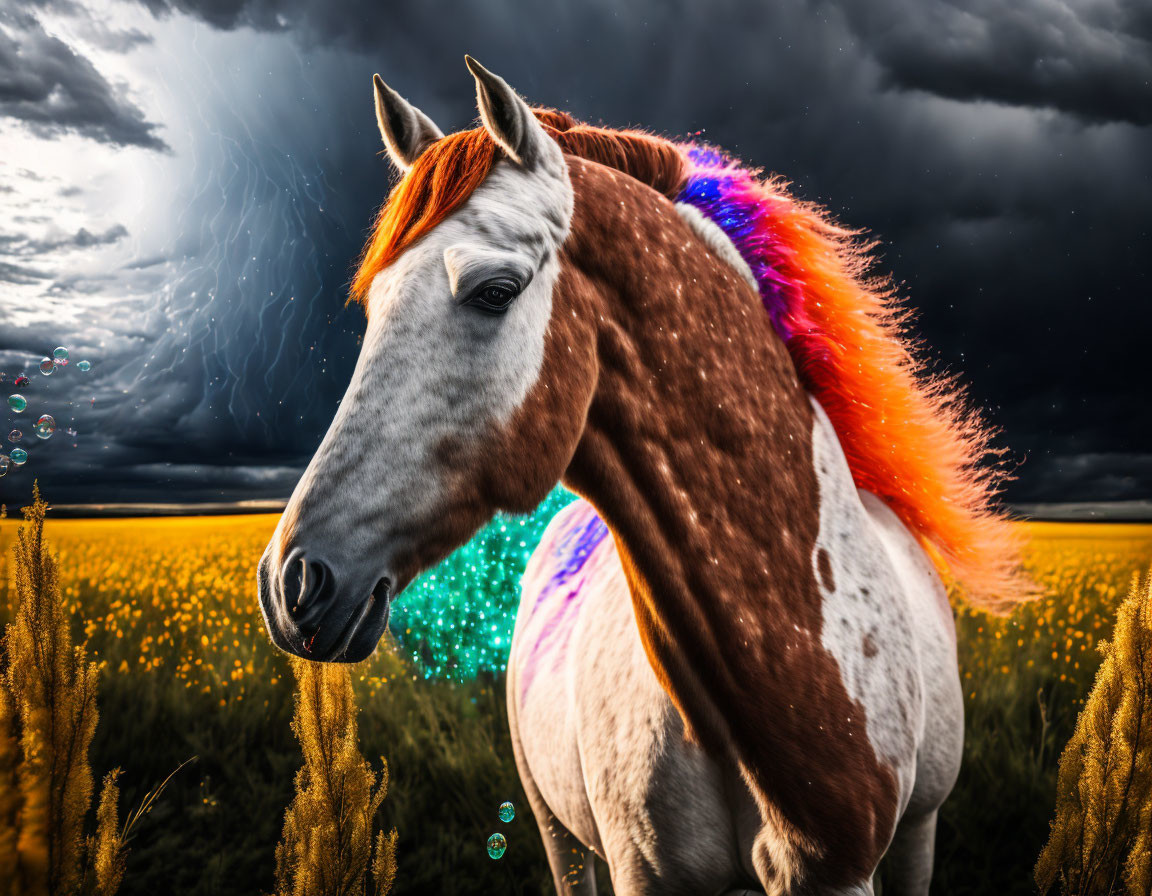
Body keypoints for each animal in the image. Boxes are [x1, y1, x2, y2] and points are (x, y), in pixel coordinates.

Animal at [256, 57, 1032, 893]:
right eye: (373, 303)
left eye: (494, 291)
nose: (294, 581)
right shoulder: (642, 872)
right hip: (558, 833)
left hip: (917, 832)